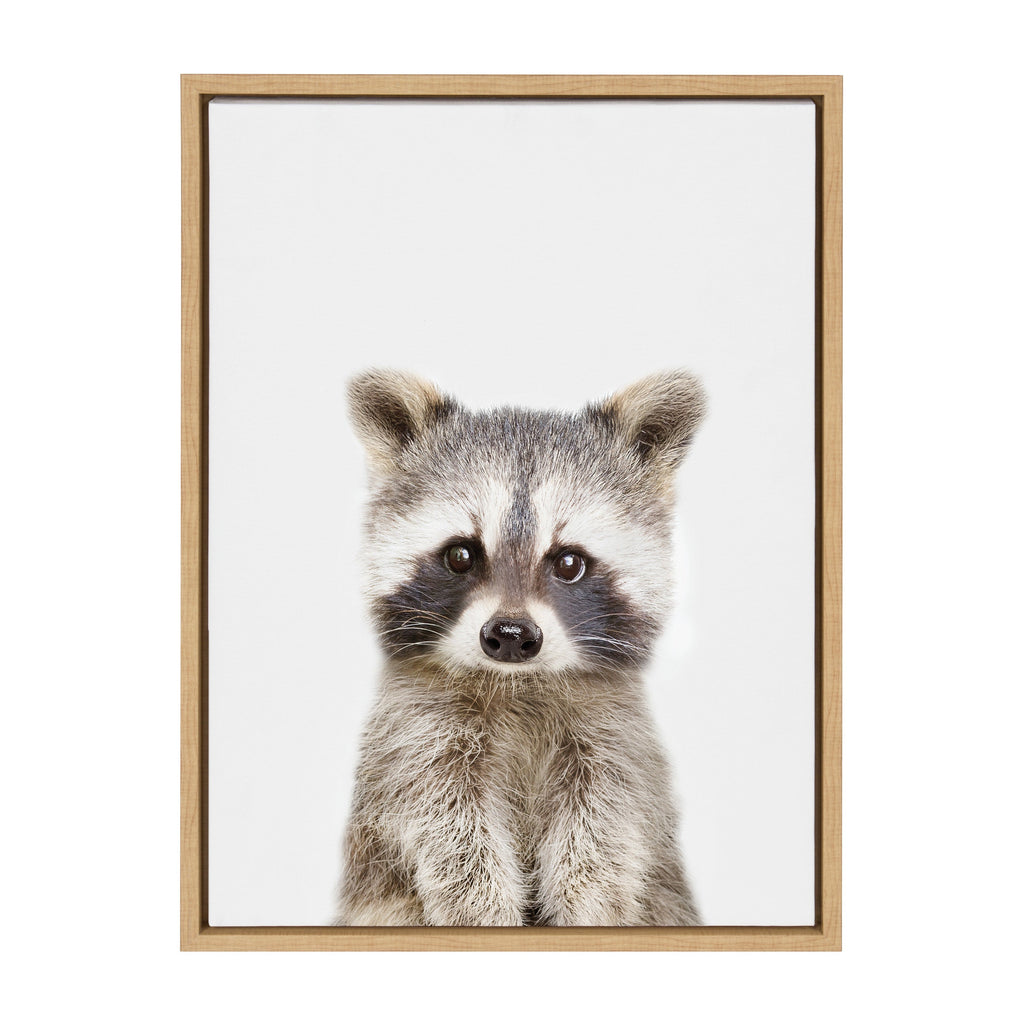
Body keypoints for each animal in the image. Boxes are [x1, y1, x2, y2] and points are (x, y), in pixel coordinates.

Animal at [336, 368, 706, 927]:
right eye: (461, 555)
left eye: (569, 562)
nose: (510, 636)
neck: (517, 684)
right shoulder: (413, 734)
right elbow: (447, 827)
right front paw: (482, 910)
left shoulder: (616, 736)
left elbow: (605, 830)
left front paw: (585, 907)